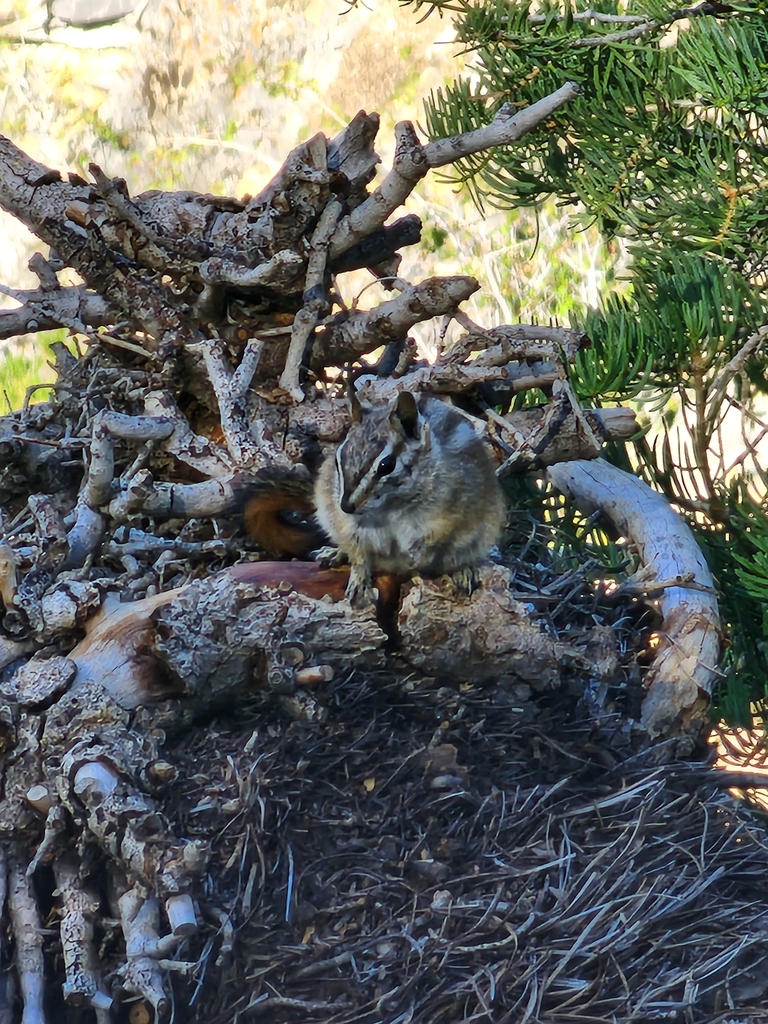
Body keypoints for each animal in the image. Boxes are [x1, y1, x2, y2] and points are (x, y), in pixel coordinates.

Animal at [313, 389, 505, 608]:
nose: (345, 506)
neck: (390, 505)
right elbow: (359, 555)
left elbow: (438, 538)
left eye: (386, 465)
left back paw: (462, 571)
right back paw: (334, 553)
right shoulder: (346, 525)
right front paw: (360, 581)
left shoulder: (448, 515)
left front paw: (418, 559)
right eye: (338, 459)